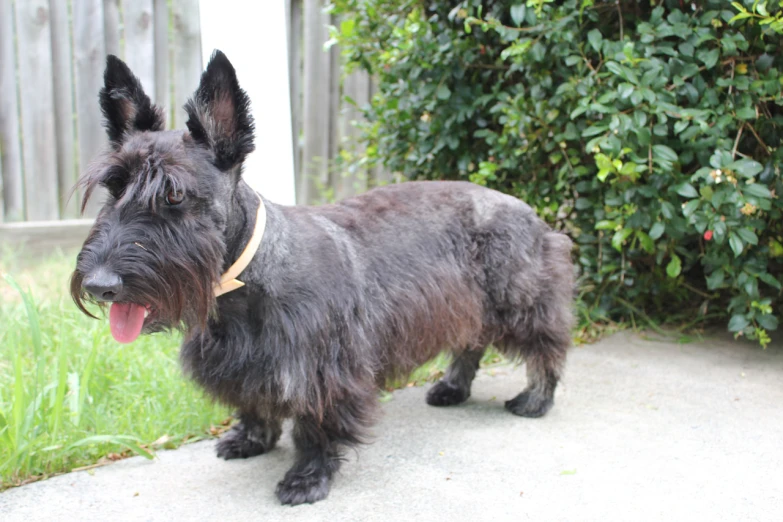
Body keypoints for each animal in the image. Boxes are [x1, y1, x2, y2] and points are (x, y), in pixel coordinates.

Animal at [72, 50, 576, 502]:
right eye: (113, 186)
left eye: (174, 194)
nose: (99, 285)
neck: (245, 281)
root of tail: (527, 210)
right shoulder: (244, 363)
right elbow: (253, 401)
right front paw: (252, 438)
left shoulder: (323, 371)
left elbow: (315, 427)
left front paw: (307, 478)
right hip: (467, 302)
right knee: (470, 341)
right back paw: (453, 386)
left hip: (520, 299)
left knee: (544, 348)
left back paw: (535, 400)